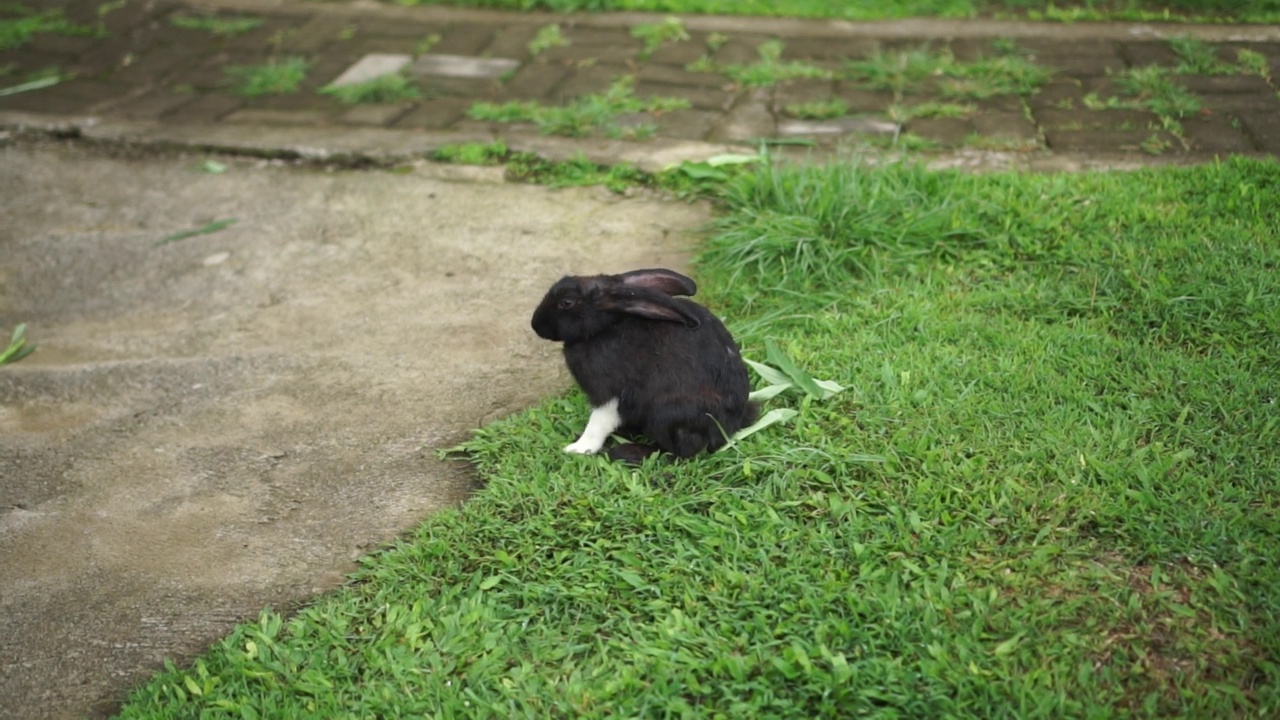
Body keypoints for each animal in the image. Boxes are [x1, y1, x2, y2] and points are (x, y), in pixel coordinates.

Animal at [532, 267, 757, 458]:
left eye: (567, 302)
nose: (535, 324)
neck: (607, 326)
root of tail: (726, 430)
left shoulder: (609, 394)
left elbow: (598, 422)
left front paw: (578, 448)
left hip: (665, 416)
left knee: (679, 452)